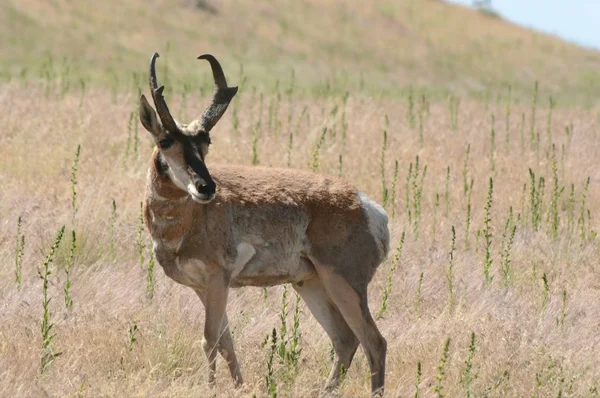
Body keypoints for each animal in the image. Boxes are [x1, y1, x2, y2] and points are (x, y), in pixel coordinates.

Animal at [141, 52, 392, 394]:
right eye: (165, 140)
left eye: (206, 140)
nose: (206, 187)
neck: (190, 220)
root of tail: (367, 205)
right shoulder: (202, 286)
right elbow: (226, 342)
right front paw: (238, 387)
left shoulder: (218, 278)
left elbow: (209, 340)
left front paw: (211, 389)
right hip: (310, 284)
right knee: (345, 340)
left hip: (343, 281)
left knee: (374, 342)